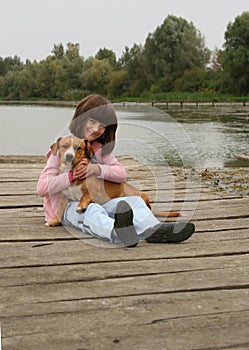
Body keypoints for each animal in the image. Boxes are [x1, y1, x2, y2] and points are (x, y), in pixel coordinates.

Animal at [46, 135, 179, 226]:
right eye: (64, 146)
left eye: (78, 148)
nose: (69, 156)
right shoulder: (63, 197)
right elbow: (59, 210)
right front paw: (53, 221)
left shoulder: (95, 191)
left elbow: (85, 195)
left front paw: (81, 206)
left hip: (141, 195)